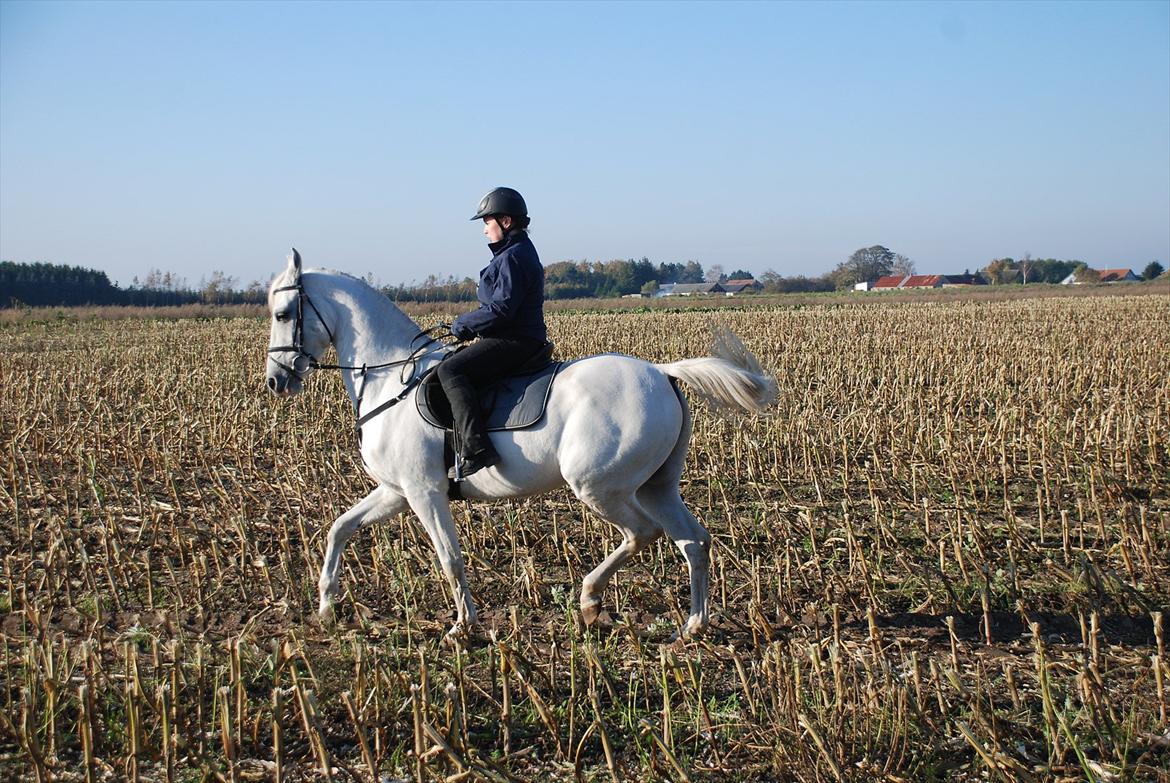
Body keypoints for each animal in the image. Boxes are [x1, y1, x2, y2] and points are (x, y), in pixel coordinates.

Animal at [266, 253, 776, 636]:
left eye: (282, 314)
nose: (275, 382)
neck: (391, 377)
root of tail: (662, 372)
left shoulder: (424, 492)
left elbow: (450, 558)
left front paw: (463, 628)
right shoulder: (397, 491)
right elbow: (340, 529)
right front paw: (326, 606)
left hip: (599, 486)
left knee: (642, 534)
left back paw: (590, 600)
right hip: (656, 486)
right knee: (693, 540)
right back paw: (691, 627)